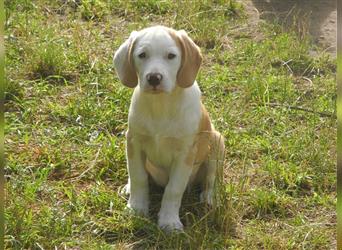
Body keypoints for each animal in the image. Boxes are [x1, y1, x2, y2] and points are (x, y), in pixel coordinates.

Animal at [113, 26, 224, 231]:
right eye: (142, 55)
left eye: (171, 56)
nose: (154, 78)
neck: (161, 105)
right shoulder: (134, 142)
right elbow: (139, 177)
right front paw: (136, 209)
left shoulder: (185, 154)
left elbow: (174, 190)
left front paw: (169, 222)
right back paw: (128, 187)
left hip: (217, 144)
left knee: (211, 179)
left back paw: (210, 198)